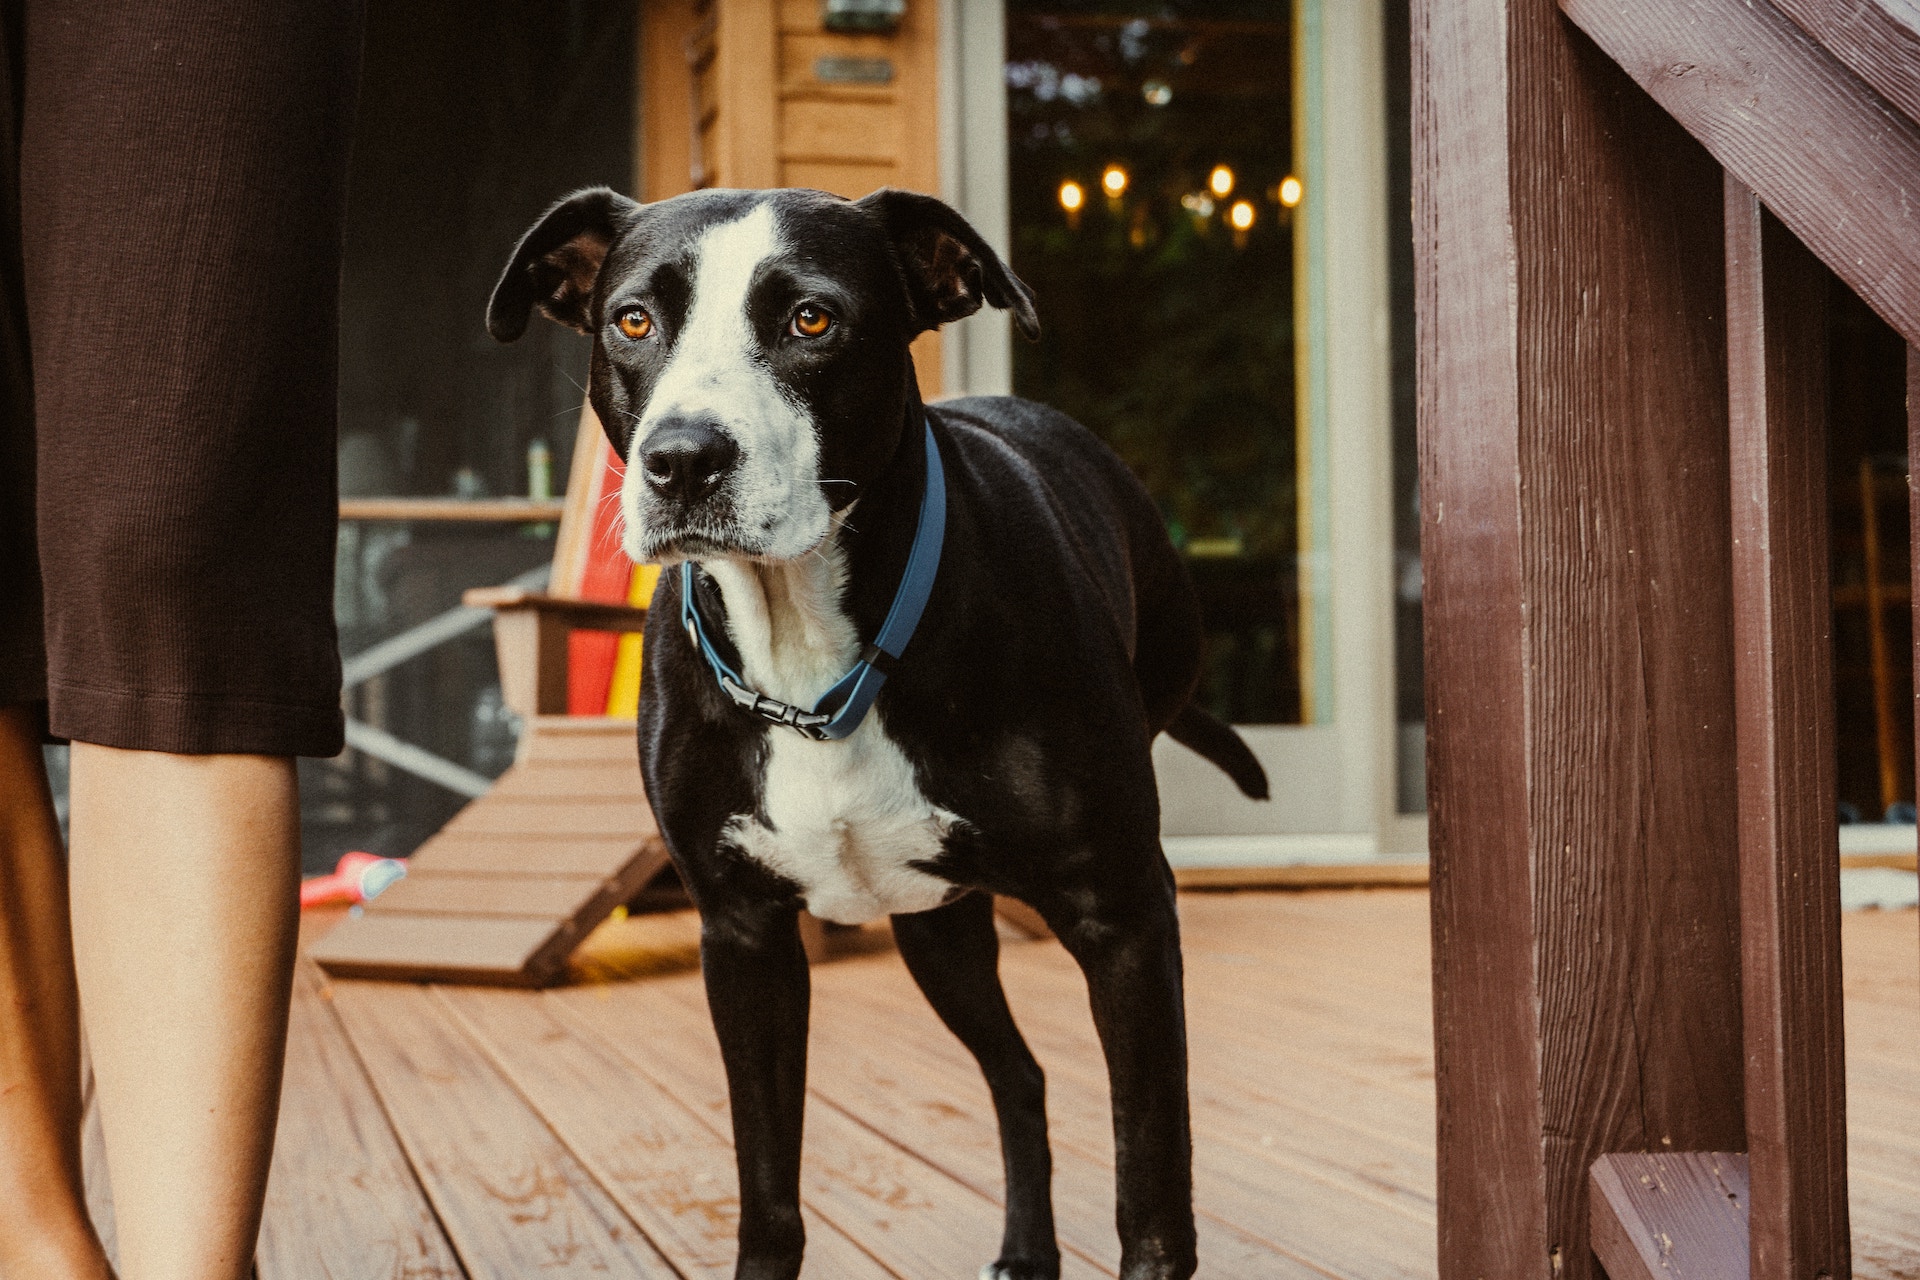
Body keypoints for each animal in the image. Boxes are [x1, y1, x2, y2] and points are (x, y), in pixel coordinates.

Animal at [495, 182, 1267, 1280]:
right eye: (633, 321)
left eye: (811, 320)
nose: (682, 459)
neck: (812, 660)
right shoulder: (743, 938)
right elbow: (768, 1194)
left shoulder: (1123, 917)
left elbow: (1152, 1190)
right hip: (937, 929)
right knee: (1018, 1076)